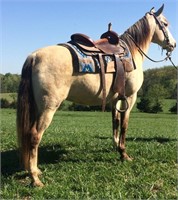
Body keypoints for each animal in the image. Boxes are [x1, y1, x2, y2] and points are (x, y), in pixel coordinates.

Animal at [17, 4, 177, 186]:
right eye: (165, 24)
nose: (173, 44)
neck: (132, 52)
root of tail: (34, 56)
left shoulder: (115, 99)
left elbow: (115, 122)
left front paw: (117, 148)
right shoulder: (130, 98)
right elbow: (124, 125)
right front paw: (124, 154)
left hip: (37, 107)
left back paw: (35, 170)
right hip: (48, 107)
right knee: (34, 136)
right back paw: (35, 178)